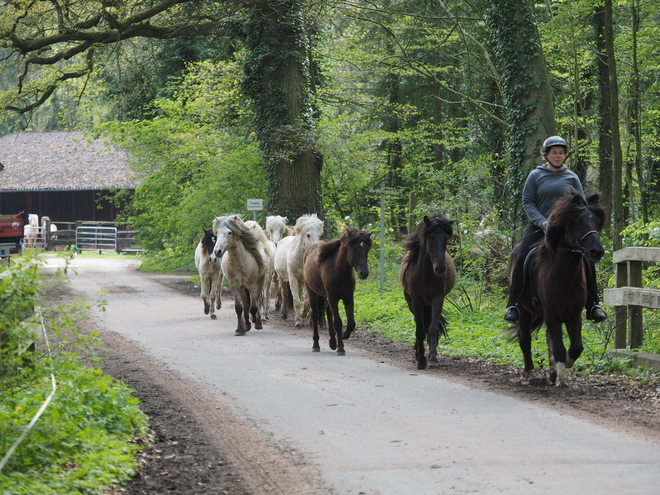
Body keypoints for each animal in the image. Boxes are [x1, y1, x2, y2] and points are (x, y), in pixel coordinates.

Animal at [400, 215, 456, 370]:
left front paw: (432, 358)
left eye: (446, 238)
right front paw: (421, 359)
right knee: (418, 324)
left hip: (429, 304)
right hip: (411, 303)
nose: (440, 268)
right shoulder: (416, 301)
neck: (425, 274)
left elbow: (433, 327)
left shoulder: (437, 298)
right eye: (430, 238)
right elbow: (420, 330)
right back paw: (417, 352)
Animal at [508, 190, 604, 388]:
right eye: (578, 221)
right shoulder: (551, 313)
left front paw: (563, 366)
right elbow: (559, 347)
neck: (565, 275)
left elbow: (575, 347)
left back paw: (552, 371)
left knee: (548, 337)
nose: (596, 252)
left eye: (597, 222)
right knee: (525, 339)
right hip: (525, 311)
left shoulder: (574, 314)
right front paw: (561, 379)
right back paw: (531, 373)